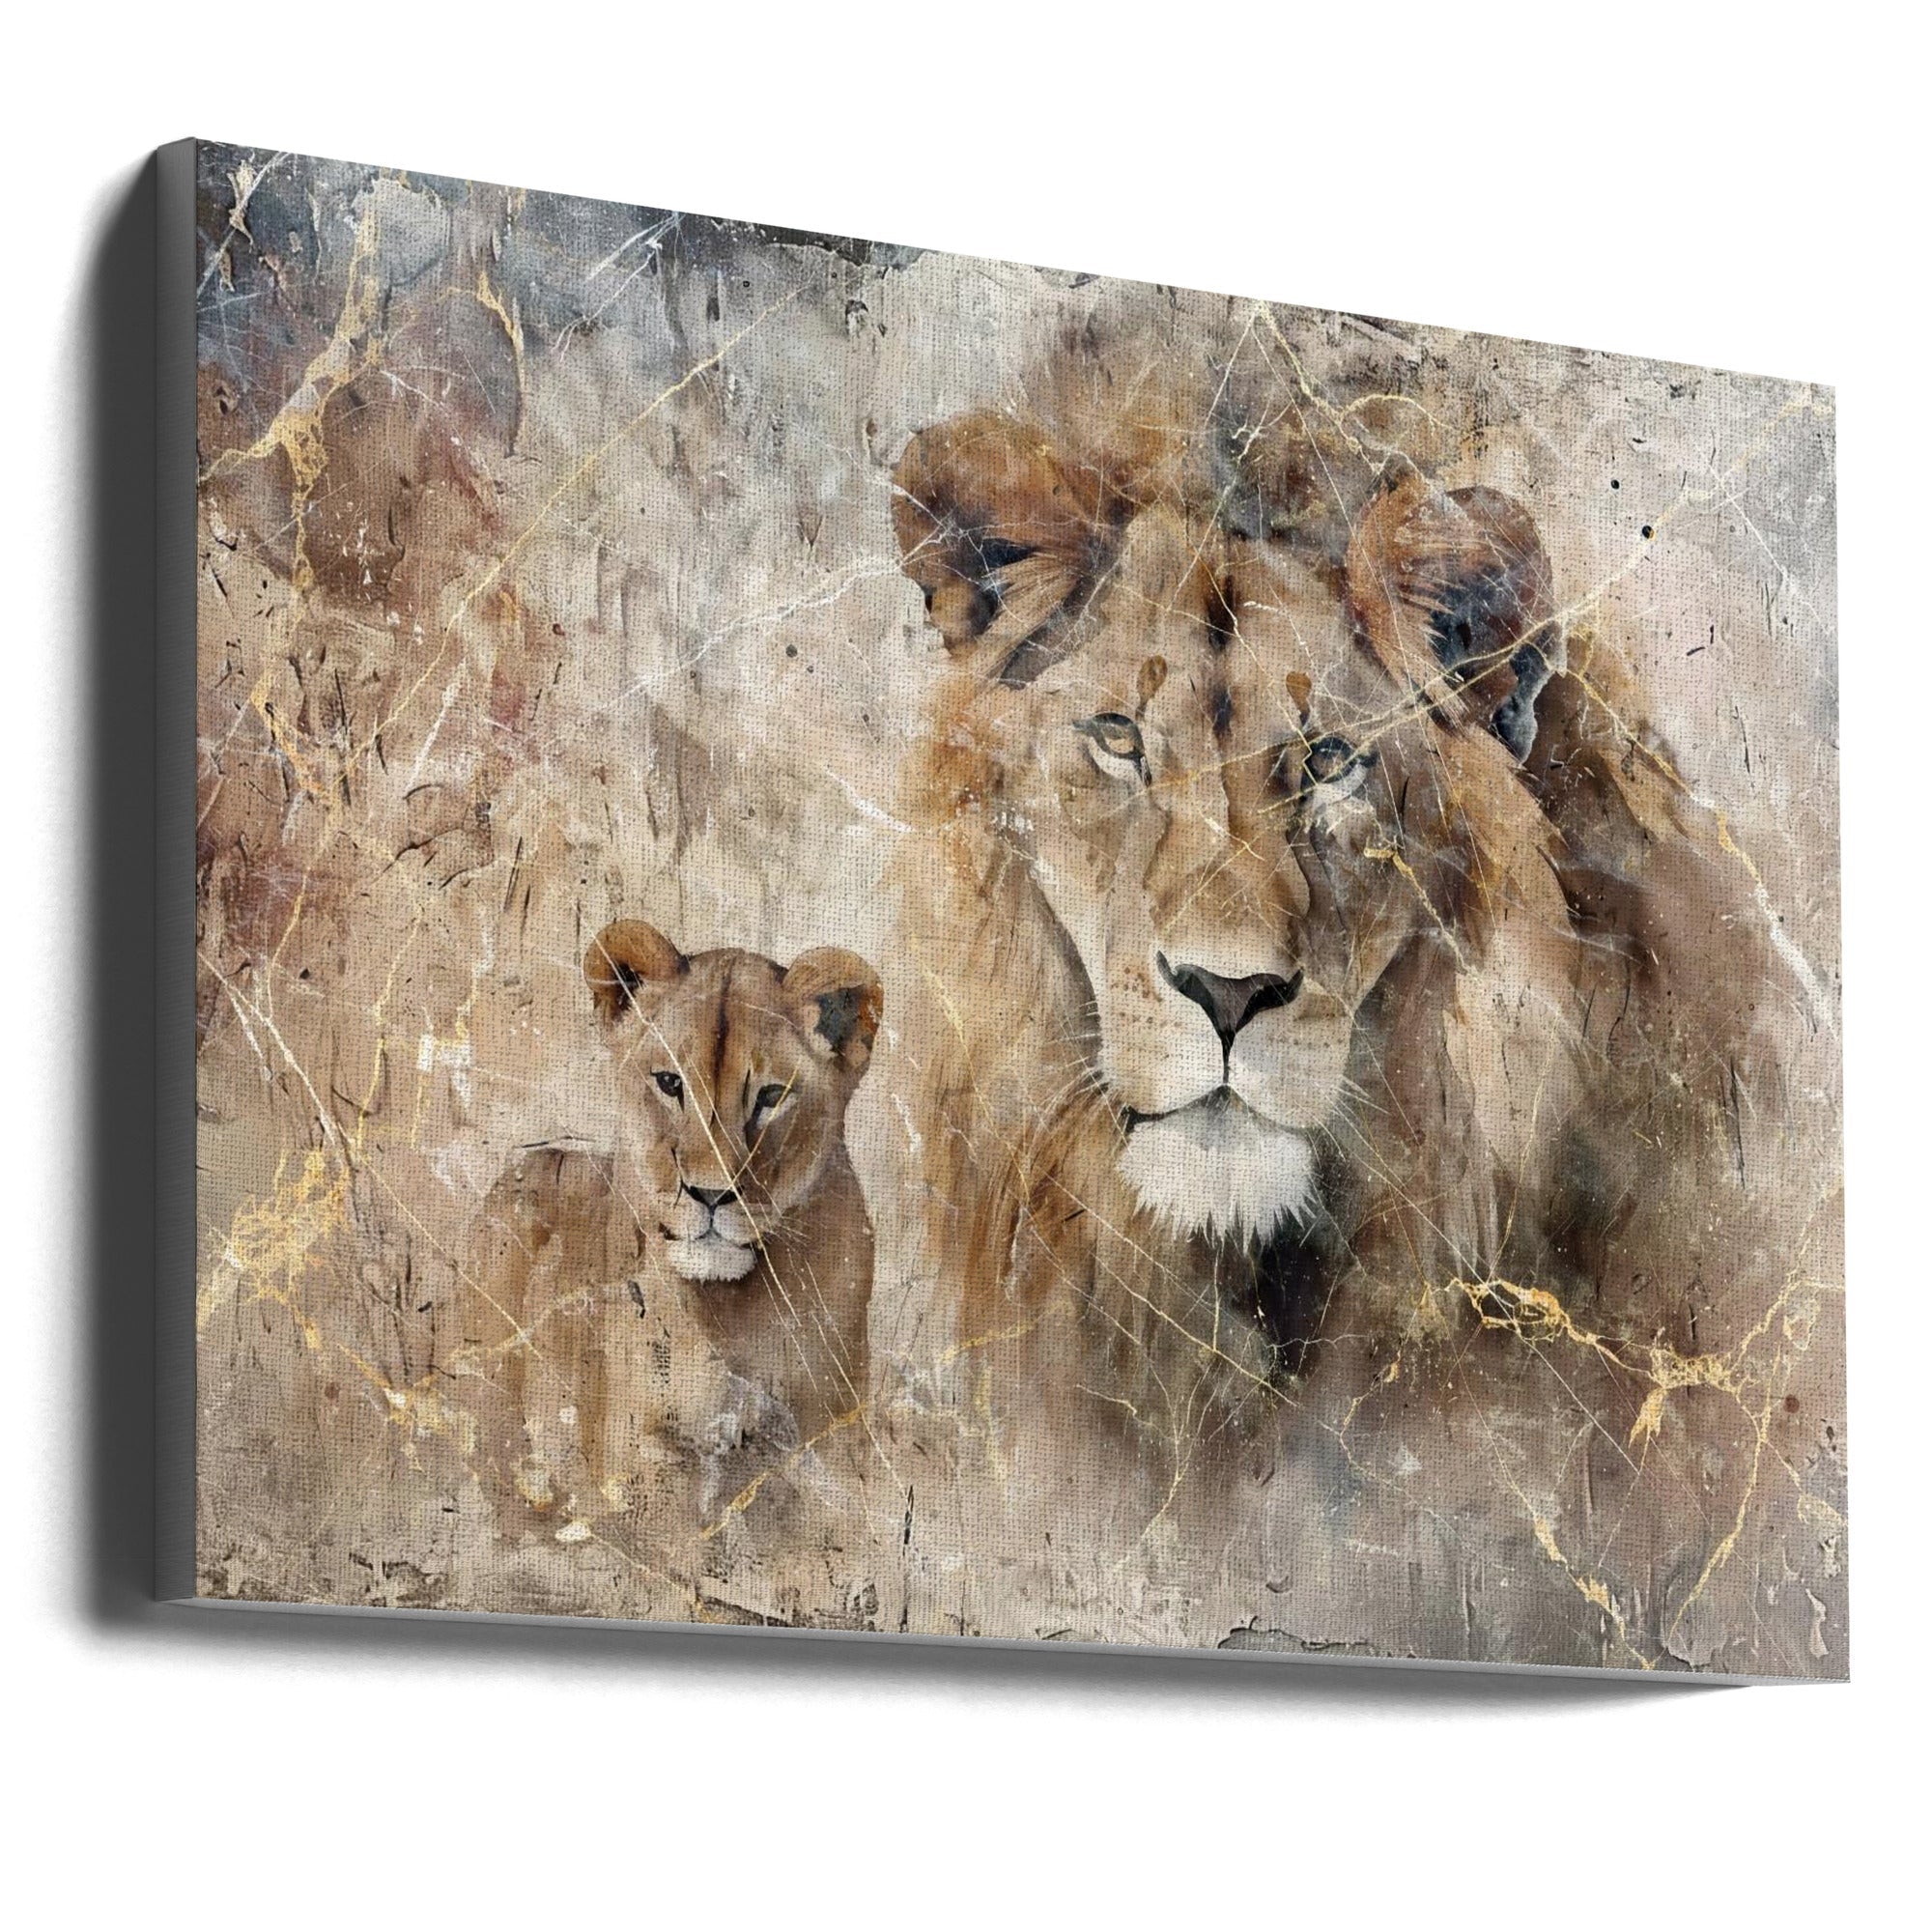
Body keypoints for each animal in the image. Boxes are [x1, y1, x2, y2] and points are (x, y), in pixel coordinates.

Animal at [464, 920, 883, 1540]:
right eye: (669, 1083)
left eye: (771, 1095)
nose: (709, 1194)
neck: (733, 1315)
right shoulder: (636, 1460)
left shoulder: (827, 1444)